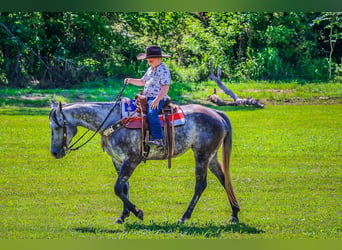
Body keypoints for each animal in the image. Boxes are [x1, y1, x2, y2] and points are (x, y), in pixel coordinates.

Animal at [49, 100, 239, 224]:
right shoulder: (117, 160)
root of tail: (217, 113)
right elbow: (124, 188)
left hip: (202, 155)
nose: (55, 153)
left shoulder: (132, 159)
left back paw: (184, 217)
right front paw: (123, 216)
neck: (112, 121)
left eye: (56, 127)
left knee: (200, 185)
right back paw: (235, 214)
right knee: (224, 179)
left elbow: (117, 188)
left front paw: (138, 212)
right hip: (211, 156)